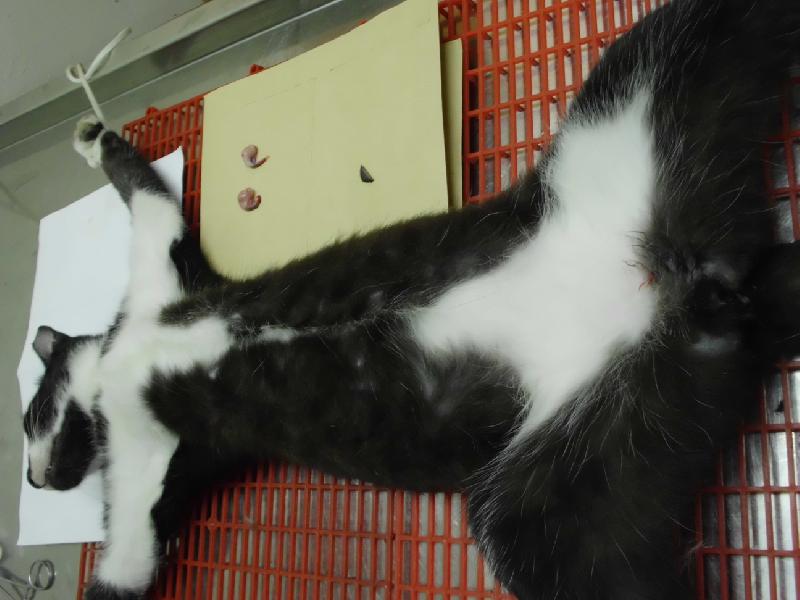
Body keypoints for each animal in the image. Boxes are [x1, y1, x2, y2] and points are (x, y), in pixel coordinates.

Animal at [21, 1, 800, 598]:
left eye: (29, 416)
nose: (32, 476)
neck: (114, 367)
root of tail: (699, 289)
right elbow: (128, 562)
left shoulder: (164, 284)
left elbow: (144, 190)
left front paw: (91, 134)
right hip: (573, 462)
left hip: (631, 89)